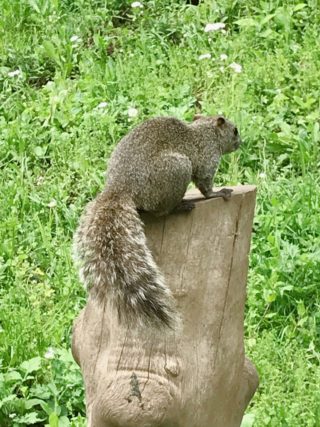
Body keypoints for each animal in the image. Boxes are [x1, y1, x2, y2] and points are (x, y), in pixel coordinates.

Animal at [74, 115, 241, 330]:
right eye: (235, 130)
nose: (240, 143)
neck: (205, 131)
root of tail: (119, 187)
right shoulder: (207, 159)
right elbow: (206, 186)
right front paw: (219, 192)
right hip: (178, 169)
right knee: (161, 211)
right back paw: (181, 206)